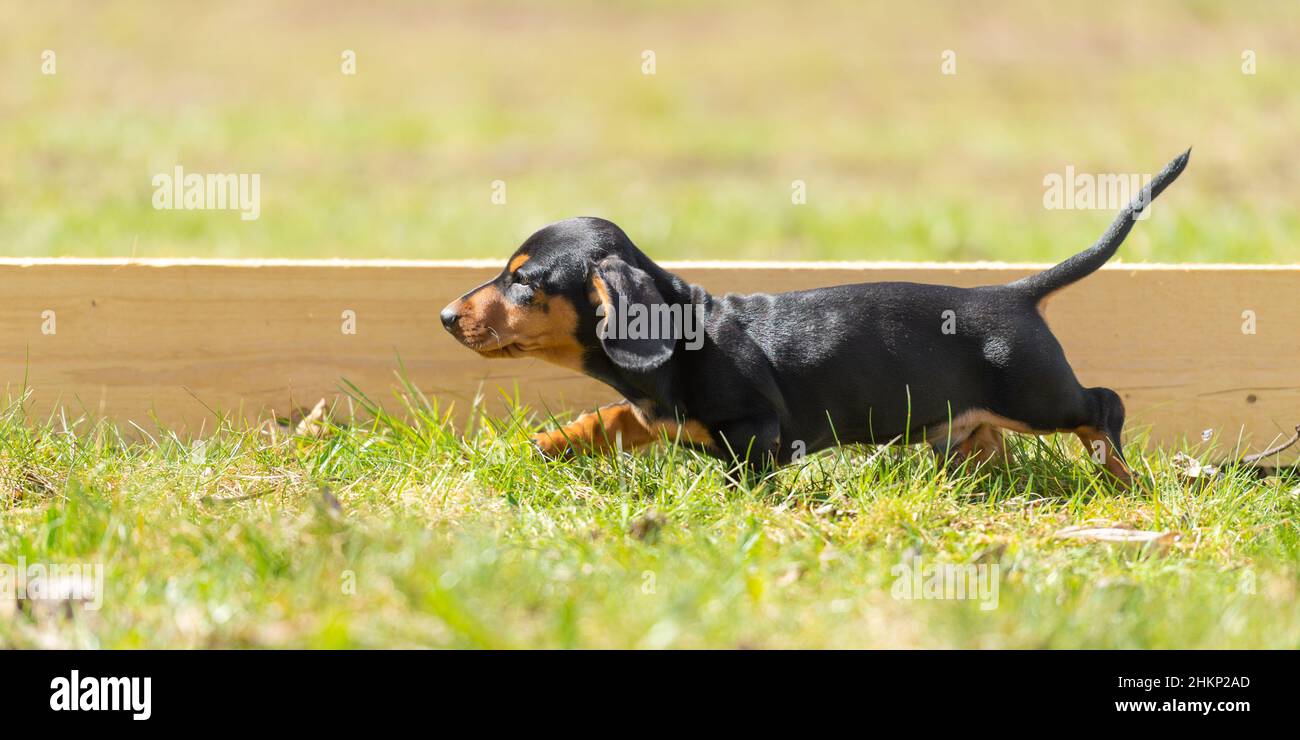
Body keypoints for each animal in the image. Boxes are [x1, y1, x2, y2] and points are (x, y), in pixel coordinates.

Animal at [444, 150, 1190, 483]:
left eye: (522, 283)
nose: (447, 316)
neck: (684, 336)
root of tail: (1013, 293)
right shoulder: (652, 411)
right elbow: (615, 417)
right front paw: (553, 442)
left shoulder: (755, 426)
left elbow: (740, 470)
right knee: (987, 441)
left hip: (1039, 395)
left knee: (1102, 405)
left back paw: (1118, 477)